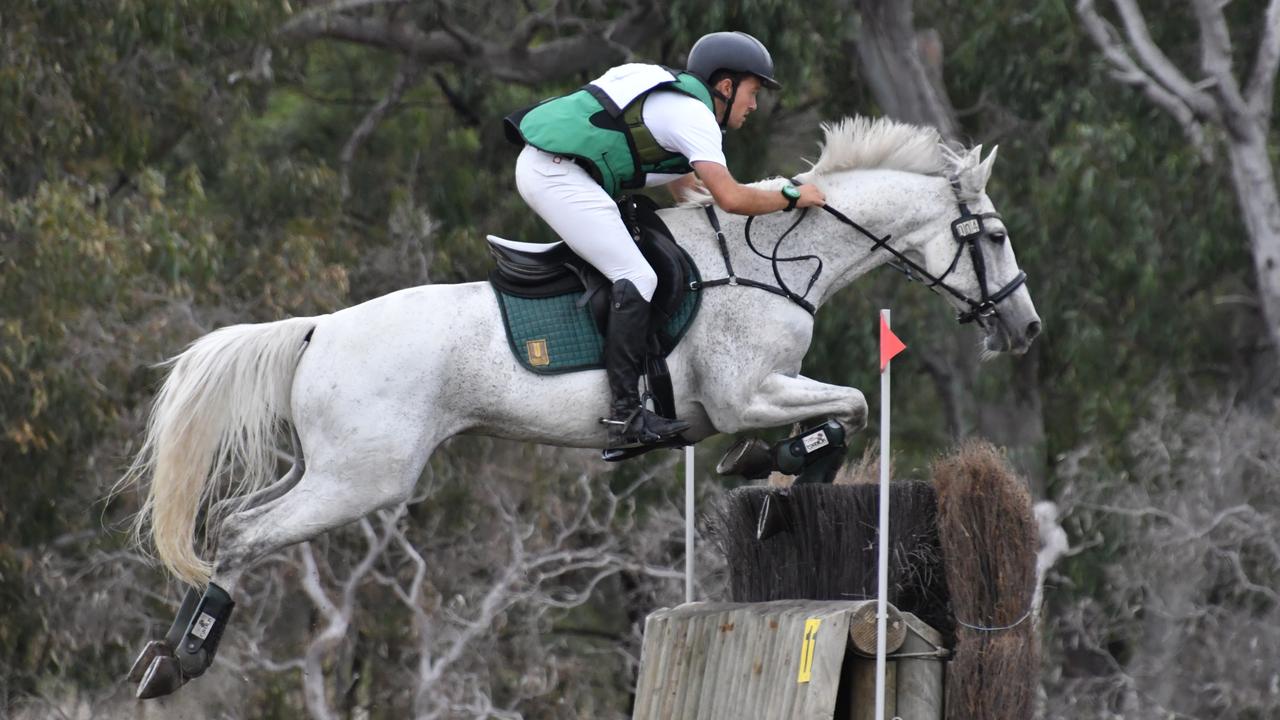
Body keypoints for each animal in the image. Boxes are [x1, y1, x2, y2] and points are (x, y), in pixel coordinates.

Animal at [120, 114, 1039, 691]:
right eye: (994, 236)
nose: (1025, 328)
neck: (774, 257)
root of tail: (317, 330)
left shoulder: (755, 394)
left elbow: (839, 410)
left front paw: (777, 468)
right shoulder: (745, 393)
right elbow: (849, 404)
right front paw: (785, 465)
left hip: (325, 469)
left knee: (232, 520)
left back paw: (164, 657)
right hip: (362, 479)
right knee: (240, 536)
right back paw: (184, 659)